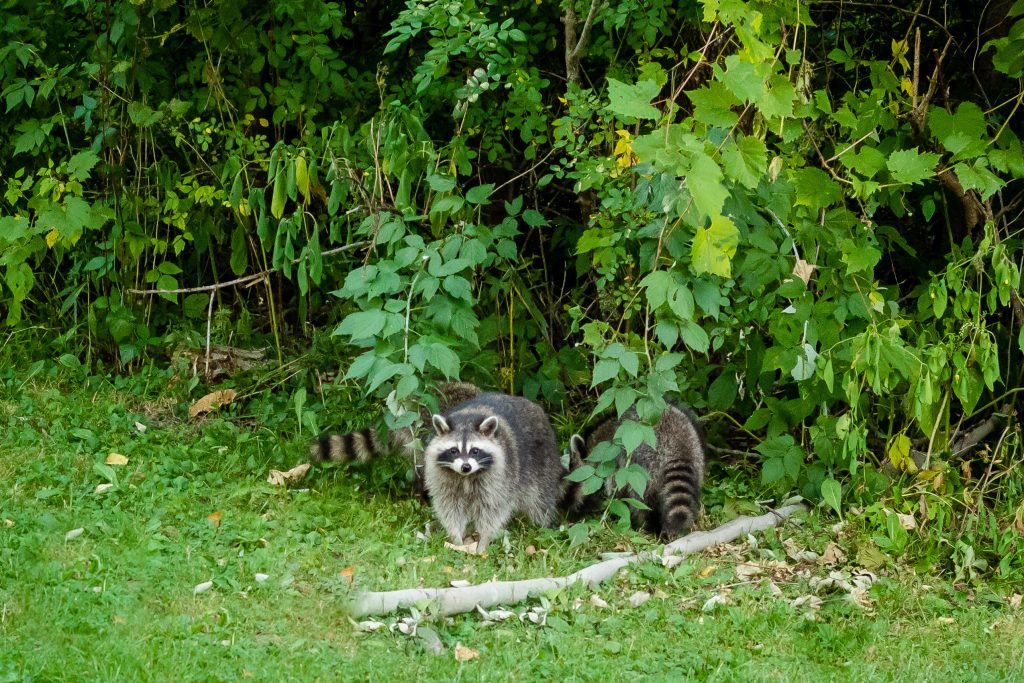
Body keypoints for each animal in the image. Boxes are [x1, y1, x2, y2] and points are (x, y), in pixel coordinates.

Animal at [423, 392, 564, 552]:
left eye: (475, 451)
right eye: (453, 451)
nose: (466, 467)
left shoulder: (500, 477)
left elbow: (492, 509)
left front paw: (483, 541)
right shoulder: (441, 477)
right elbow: (449, 507)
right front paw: (456, 538)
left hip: (543, 462)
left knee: (540, 500)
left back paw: (544, 525)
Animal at [565, 404, 706, 541]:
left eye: (573, 486)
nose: (571, 513)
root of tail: (678, 446)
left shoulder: (612, 463)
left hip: (641, 465)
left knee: (639, 502)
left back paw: (643, 526)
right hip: (697, 459)